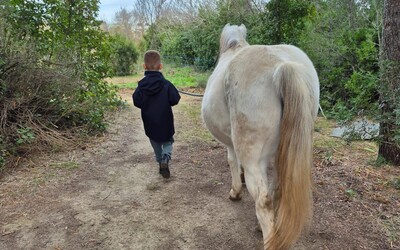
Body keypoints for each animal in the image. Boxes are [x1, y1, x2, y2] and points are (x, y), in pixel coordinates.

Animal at [202, 23, 320, 250]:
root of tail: (282, 66)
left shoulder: (231, 146)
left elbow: (232, 162)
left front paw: (235, 192)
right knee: (276, 190)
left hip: (253, 160)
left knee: (263, 201)